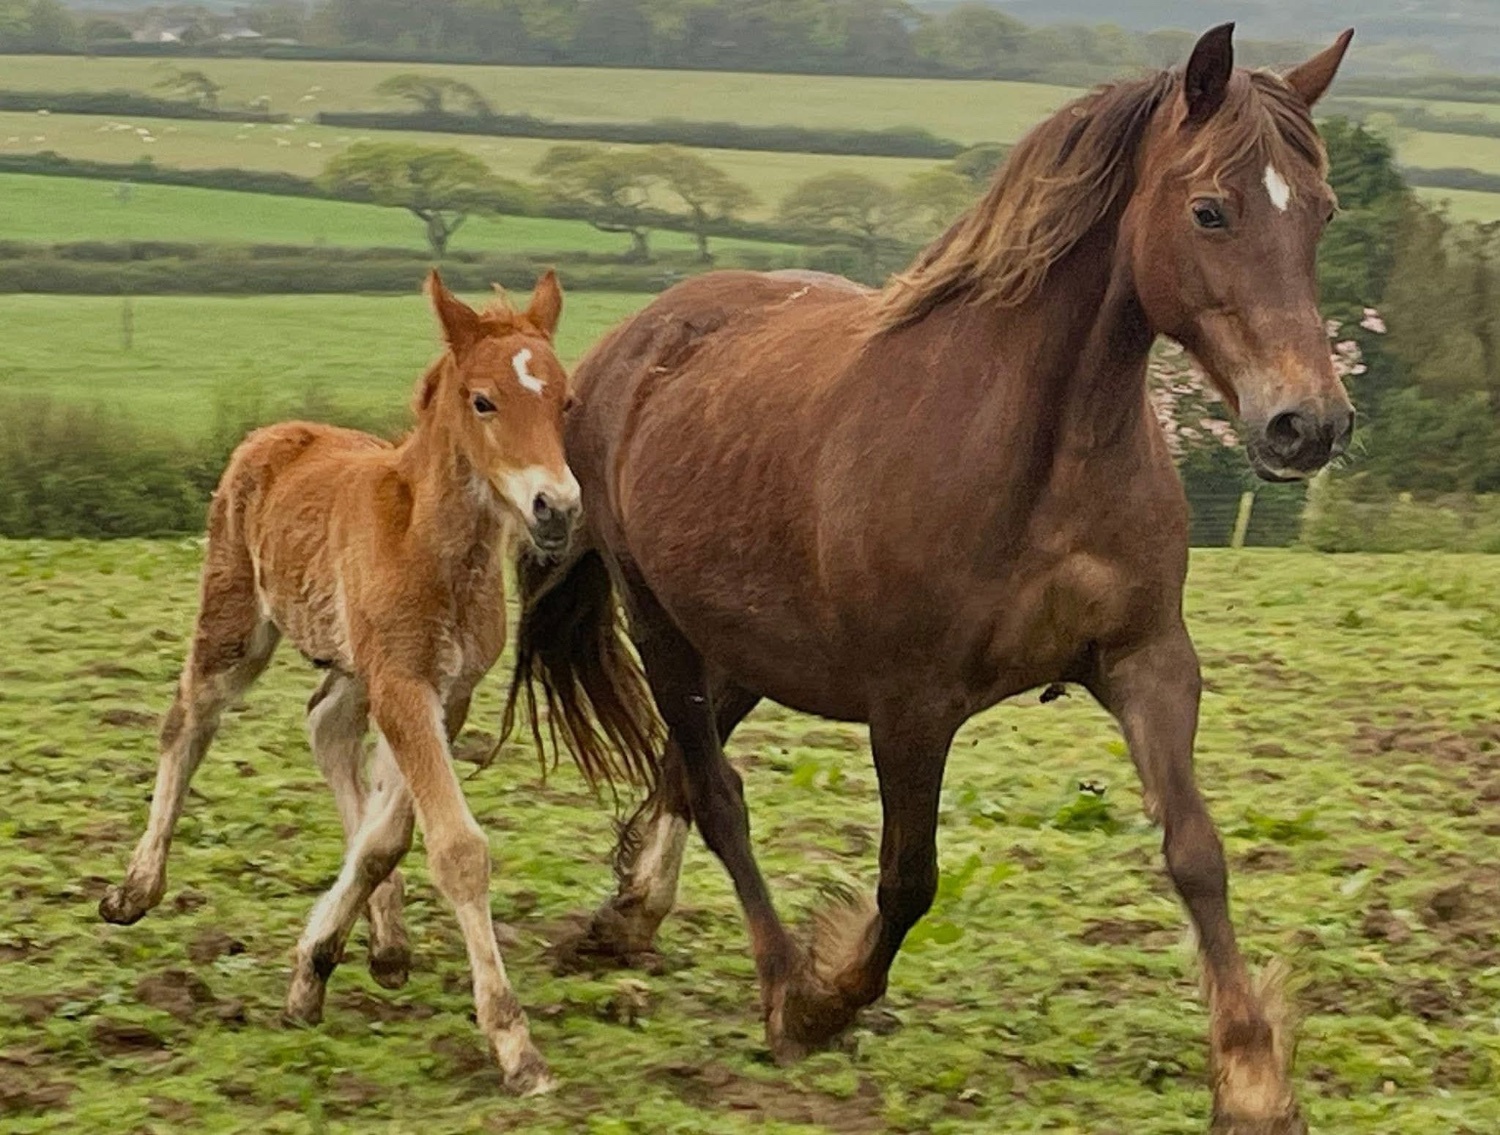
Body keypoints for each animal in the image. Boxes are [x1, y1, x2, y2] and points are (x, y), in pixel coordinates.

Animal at [98, 270, 653, 1095]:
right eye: (483, 400)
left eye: (565, 401)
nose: (556, 507)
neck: (435, 547)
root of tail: (271, 434)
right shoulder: (402, 684)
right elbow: (456, 848)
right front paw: (516, 1045)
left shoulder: (444, 692)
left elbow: (387, 837)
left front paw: (313, 969)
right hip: (236, 622)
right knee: (188, 721)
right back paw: (136, 888)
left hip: (353, 664)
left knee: (327, 726)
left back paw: (385, 942)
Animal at [506, 25, 1354, 1132]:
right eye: (1211, 208)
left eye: (1324, 211)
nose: (1308, 424)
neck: (1043, 450)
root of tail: (635, 342)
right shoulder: (911, 703)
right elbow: (909, 878)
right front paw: (827, 996)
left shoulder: (1148, 662)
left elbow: (1197, 851)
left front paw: (1252, 1078)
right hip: (663, 629)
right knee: (719, 791)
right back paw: (779, 986)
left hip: (739, 641)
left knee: (687, 771)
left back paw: (628, 919)